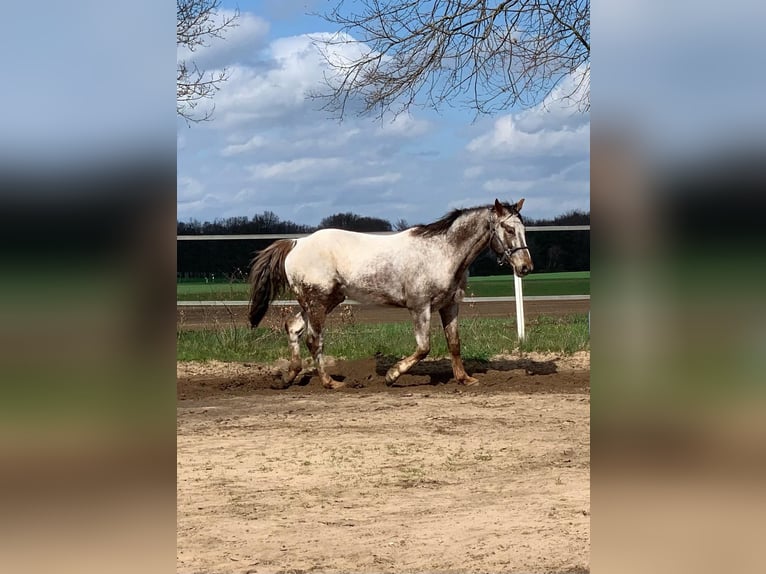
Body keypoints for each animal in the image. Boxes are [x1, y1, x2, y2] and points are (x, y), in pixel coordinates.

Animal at [248, 198, 533, 389]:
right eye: (509, 230)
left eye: (523, 230)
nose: (525, 267)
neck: (442, 252)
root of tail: (297, 243)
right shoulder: (420, 306)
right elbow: (424, 347)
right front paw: (392, 375)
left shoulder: (449, 305)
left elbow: (454, 343)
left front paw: (465, 379)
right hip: (318, 301)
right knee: (313, 339)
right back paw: (330, 383)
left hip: (322, 301)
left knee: (293, 327)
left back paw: (288, 377)